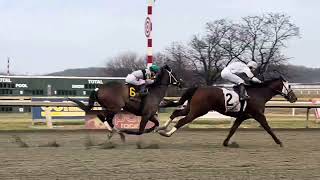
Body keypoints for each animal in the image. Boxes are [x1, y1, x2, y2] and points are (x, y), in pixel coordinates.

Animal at [158, 76, 298, 147]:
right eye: (289, 86)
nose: (294, 98)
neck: (259, 93)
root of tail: (198, 88)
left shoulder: (242, 116)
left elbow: (233, 129)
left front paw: (226, 142)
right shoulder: (258, 115)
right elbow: (268, 128)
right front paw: (279, 142)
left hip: (191, 108)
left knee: (176, 113)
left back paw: (161, 128)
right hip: (198, 111)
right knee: (182, 120)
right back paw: (167, 133)